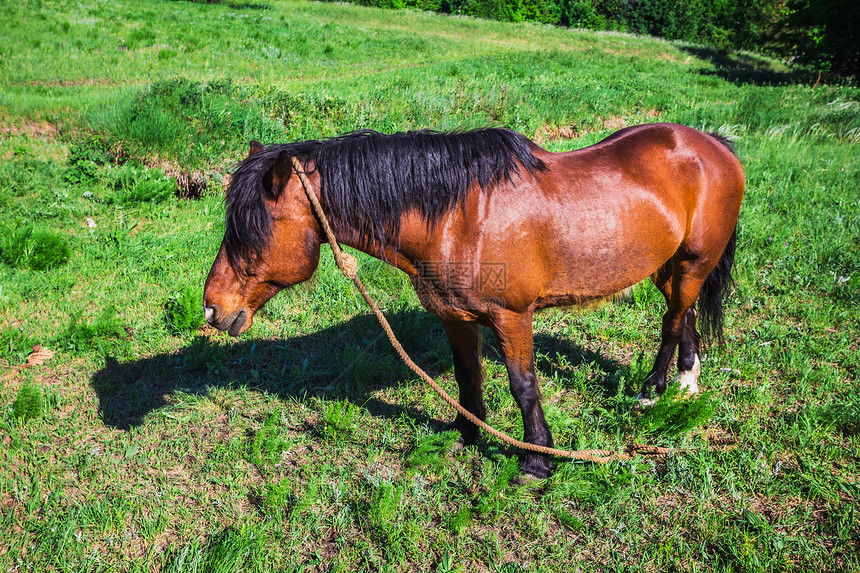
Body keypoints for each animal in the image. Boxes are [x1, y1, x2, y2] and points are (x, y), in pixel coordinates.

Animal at [205, 124, 744, 478]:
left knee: (672, 320)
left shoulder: (512, 317)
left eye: (251, 229)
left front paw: (536, 459)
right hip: (667, 267)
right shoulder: (454, 317)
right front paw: (465, 436)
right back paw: (687, 383)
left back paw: (653, 389)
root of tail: (714, 146)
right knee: (684, 314)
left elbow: (523, 386)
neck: (457, 216)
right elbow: (469, 376)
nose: (212, 309)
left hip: (692, 263)